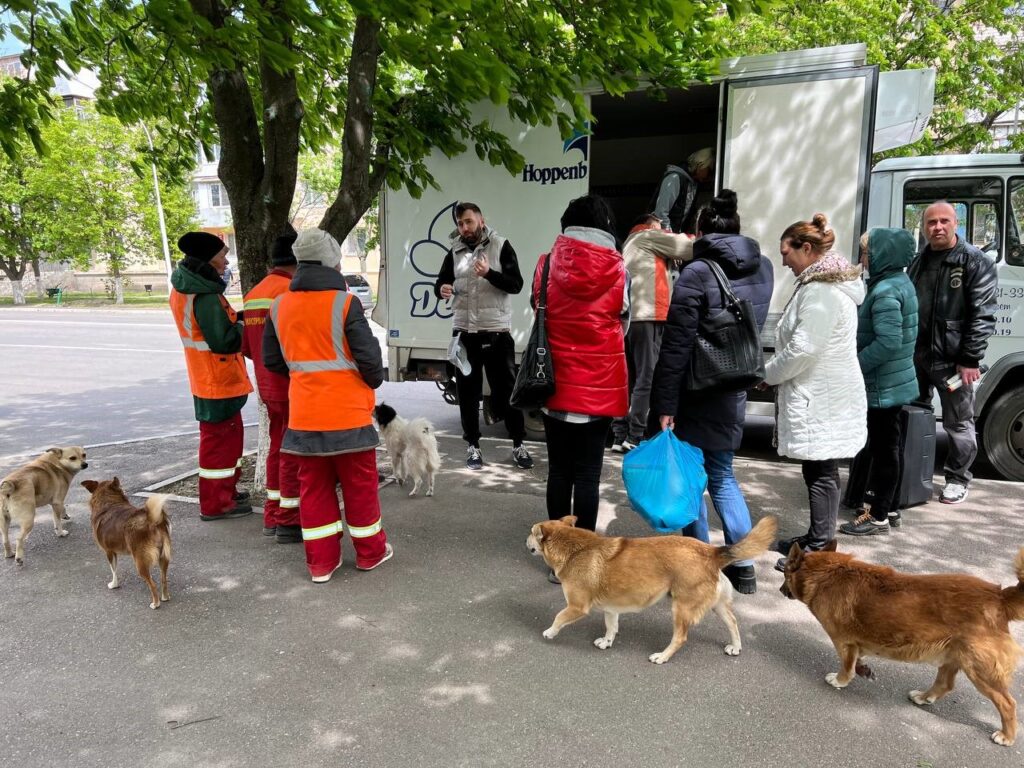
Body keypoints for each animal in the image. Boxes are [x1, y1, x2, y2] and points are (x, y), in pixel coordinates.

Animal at [81, 479, 172, 610]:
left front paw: (114, 585)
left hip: (140, 562)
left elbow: (113, 570)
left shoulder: (109, 552)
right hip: (164, 557)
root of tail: (152, 522)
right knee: (163, 579)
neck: (109, 503)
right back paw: (165, 597)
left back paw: (155, 604)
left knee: (152, 584)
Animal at [528, 514, 774, 663]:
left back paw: (662, 656)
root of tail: (711, 551)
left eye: (531, 532)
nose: (526, 540)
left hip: (681, 609)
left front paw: (550, 632)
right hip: (717, 606)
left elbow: (559, 617)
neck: (574, 549)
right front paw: (607, 641)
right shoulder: (611, 609)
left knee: (680, 638)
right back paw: (735, 646)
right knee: (732, 622)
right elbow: (611, 627)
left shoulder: (577, 607)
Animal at [778, 540, 1024, 745]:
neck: (825, 573)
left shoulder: (844, 642)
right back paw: (923, 697)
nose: (780, 589)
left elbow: (846, 667)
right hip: (953, 656)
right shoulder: (854, 645)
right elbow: (858, 660)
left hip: (979, 669)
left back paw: (1007, 736)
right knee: (944, 684)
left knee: (1007, 703)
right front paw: (863, 669)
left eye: (785, 573)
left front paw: (840, 680)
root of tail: (999, 596)